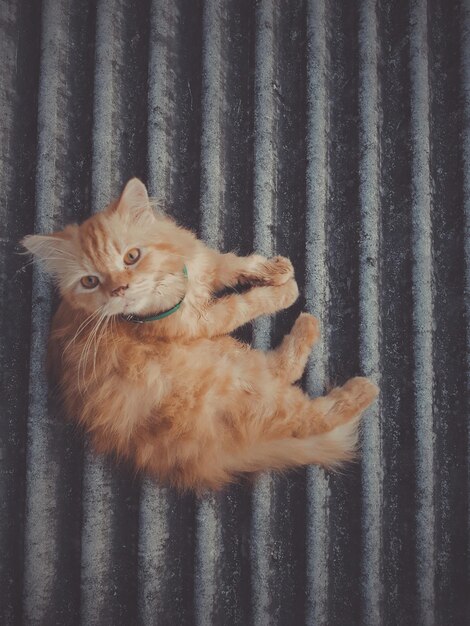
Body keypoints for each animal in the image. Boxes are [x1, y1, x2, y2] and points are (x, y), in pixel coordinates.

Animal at [23, 178, 378, 490]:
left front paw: (276, 270)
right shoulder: (202, 322)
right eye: (90, 282)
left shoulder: (203, 262)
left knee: (281, 371)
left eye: (131, 256)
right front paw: (284, 291)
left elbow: (234, 264)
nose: (119, 289)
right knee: (307, 415)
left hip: (228, 357)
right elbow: (245, 303)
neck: (173, 286)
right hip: (230, 377)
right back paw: (355, 378)